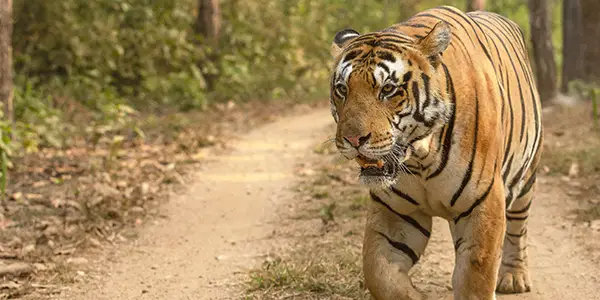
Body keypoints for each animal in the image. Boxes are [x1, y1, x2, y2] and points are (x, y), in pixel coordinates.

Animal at [328, 5, 544, 300]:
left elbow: (475, 280)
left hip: (526, 176)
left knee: (518, 228)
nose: (352, 139)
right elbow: (380, 275)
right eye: (342, 89)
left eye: (388, 89)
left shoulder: (482, 204)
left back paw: (514, 277)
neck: (420, 157)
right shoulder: (394, 212)